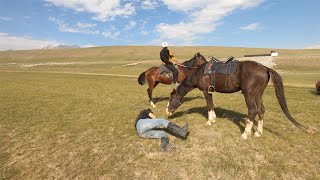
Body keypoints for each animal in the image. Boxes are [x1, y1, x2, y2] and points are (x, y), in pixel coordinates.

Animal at [166, 60, 306, 139]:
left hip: (249, 94)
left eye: (171, 99)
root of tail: (264, 68)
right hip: (258, 94)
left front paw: (210, 121)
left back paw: (246, 133)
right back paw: (258, 132)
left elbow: (209, 106)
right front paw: (214, 119)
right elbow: (212, 105)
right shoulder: (210, 92)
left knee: (253, 111)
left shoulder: (206, 91)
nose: (167, 111)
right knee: (261, 110)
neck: (200, 72)